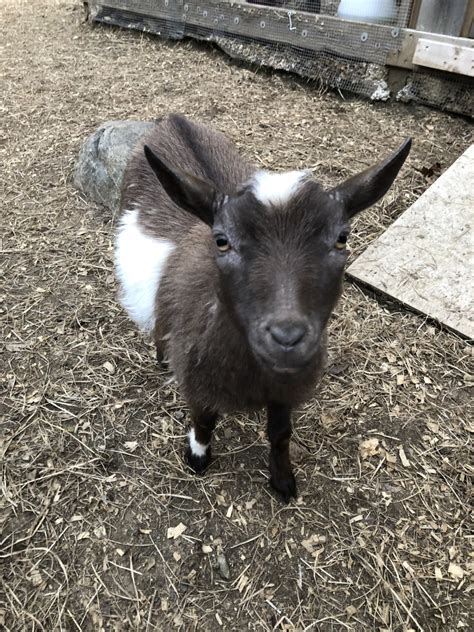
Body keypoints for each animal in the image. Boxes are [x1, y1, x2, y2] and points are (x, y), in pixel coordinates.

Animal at [115, 112, 412, 498]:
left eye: (342, 238)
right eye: (221, 240)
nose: (287, 338)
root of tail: (172, 120)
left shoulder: (285, 389)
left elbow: (280, 433)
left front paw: (283, 480)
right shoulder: (198, 378)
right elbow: (203, 419)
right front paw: (197, 457)